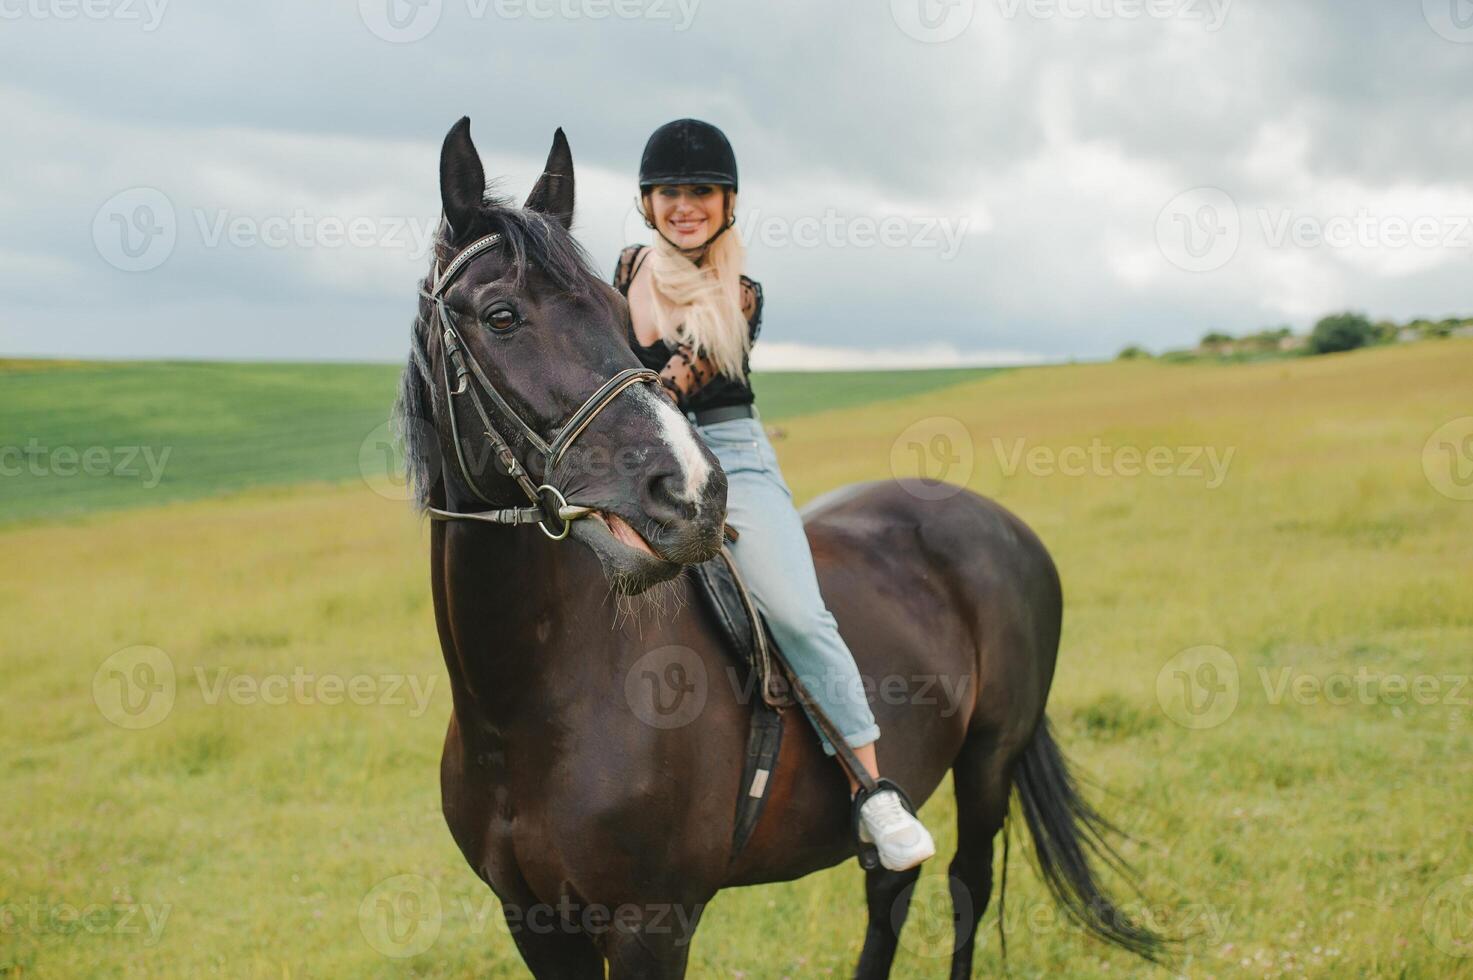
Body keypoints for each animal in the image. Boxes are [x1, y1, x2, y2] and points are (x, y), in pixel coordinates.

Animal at [394, 118, 1160, 972]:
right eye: (500, 316)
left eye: (619, 318)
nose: (691, 493)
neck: (528, 703)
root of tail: (995, 520)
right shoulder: (531, 922)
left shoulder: (653, 923)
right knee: (891, 891)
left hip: (990, 758)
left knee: (966, 885)